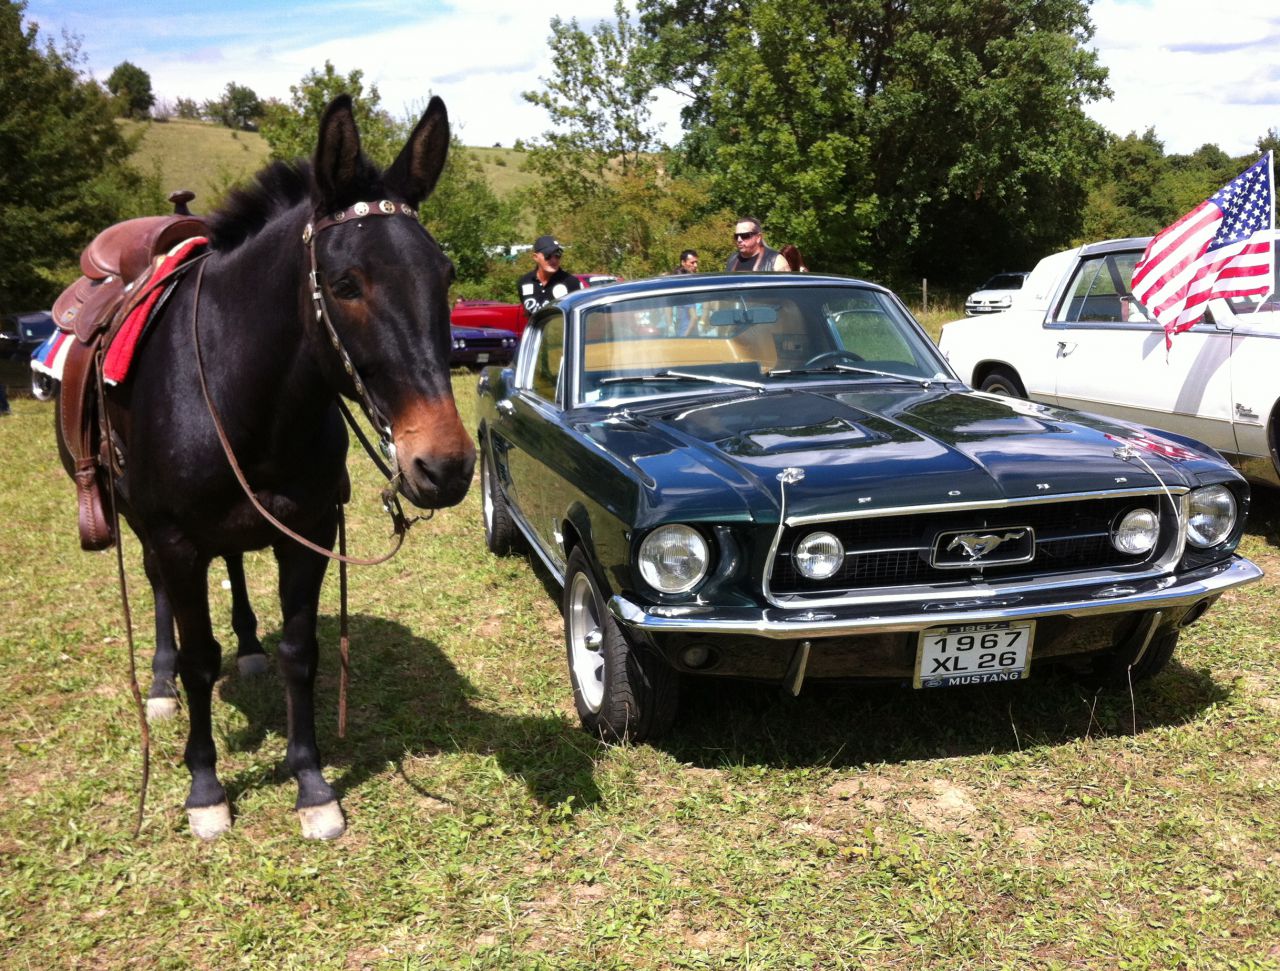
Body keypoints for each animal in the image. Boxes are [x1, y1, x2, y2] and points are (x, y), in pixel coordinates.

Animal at [57, 95, 475, 839]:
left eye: (446, 274)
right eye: (346, 283)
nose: (445, 464)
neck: (233, 385)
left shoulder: (306, 532)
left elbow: (300, 653)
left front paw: (310, 782)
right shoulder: (176, 539)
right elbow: (199, 660)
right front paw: (205, 787)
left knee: (234, 563)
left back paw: (248, 645)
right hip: (139, 521)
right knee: (158, 589)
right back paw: (159, 682)